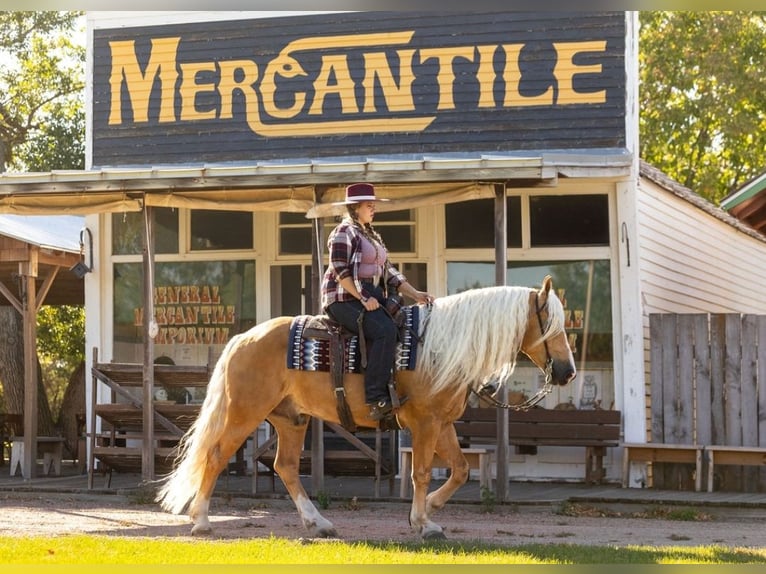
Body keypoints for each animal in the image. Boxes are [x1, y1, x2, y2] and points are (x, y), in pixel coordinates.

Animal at [158, 276, 576, 544]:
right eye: (551, 325)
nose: (567, 371)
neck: (439, 347)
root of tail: (243, 338)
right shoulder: (424, 423)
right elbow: (422, 472)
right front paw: (424, 523)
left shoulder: (442, 423)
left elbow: (459, 470)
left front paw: (429, 511)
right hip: (244, 413)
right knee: (216, 456)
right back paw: (201, 521)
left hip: (291, 419)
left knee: (286, 467)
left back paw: (319, 524)